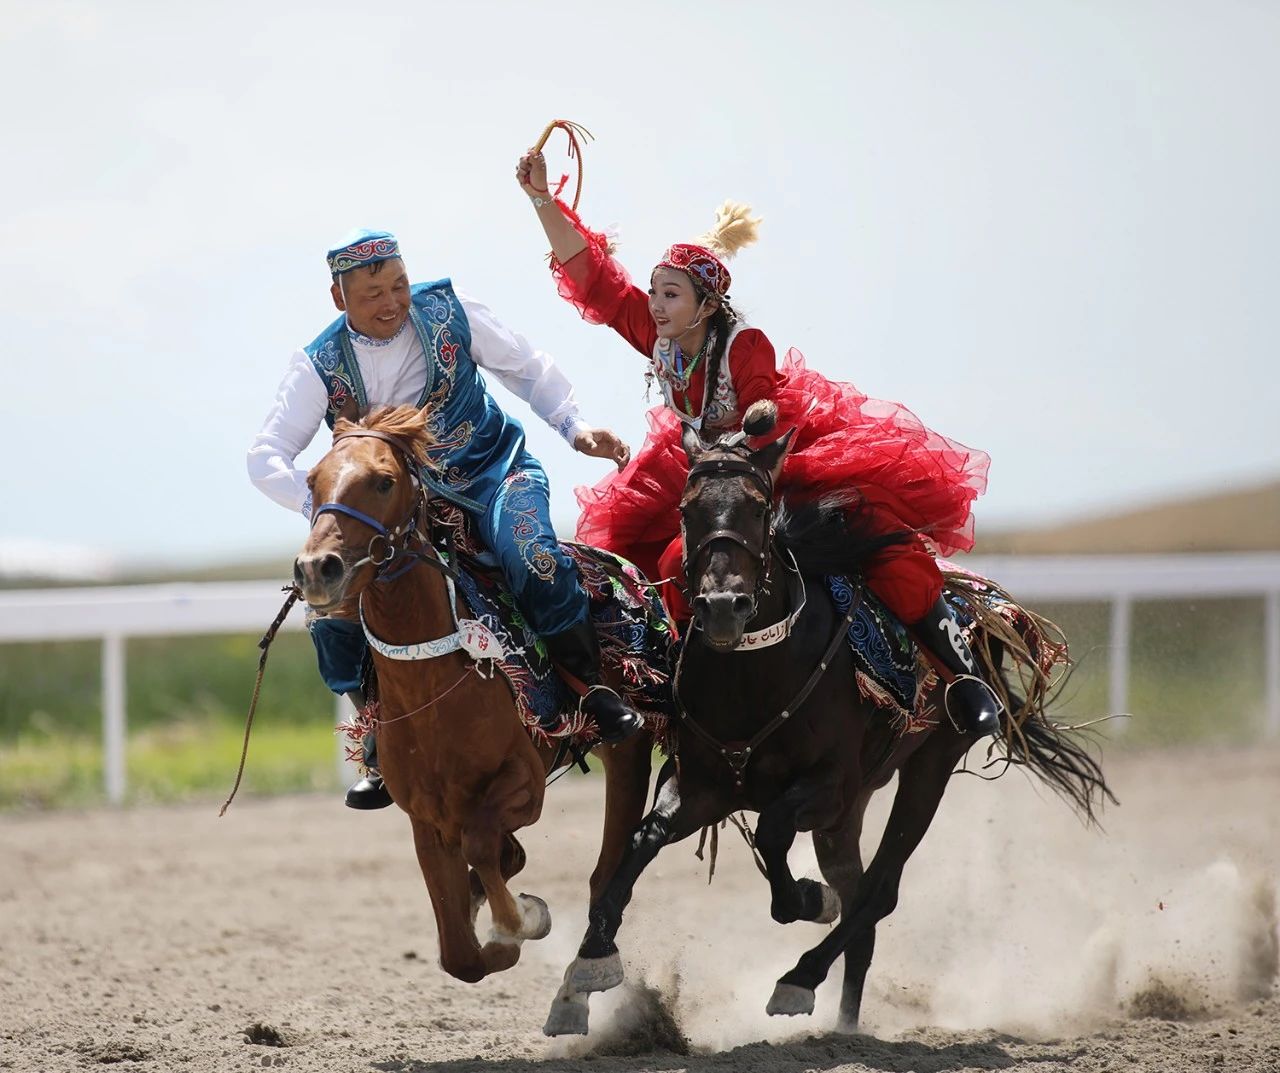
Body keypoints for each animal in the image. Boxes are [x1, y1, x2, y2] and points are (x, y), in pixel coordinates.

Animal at [294, 407, 655, 988]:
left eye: (383, 481)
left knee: (606, 868)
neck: (430, 687)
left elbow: (485, 847)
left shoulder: (523, 784)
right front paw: (498, 922)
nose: (315, 568)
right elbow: (460, 955)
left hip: (626, 750)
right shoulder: (426, 821)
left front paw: (522, 919)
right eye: (312, 481)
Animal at [540, 407, 1111, 1039]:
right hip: (852, 810)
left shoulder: (828, 786)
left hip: (928, 765)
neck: (756, 675)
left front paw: (806, 902)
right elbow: (643, 841)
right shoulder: (703, 785)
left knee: (878, 893)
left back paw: (801, 977)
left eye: (758, 507)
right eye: (687, 510)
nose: (722, 607)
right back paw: (843, 1020)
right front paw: (591, 961)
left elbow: (773, 838)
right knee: (859, 899)